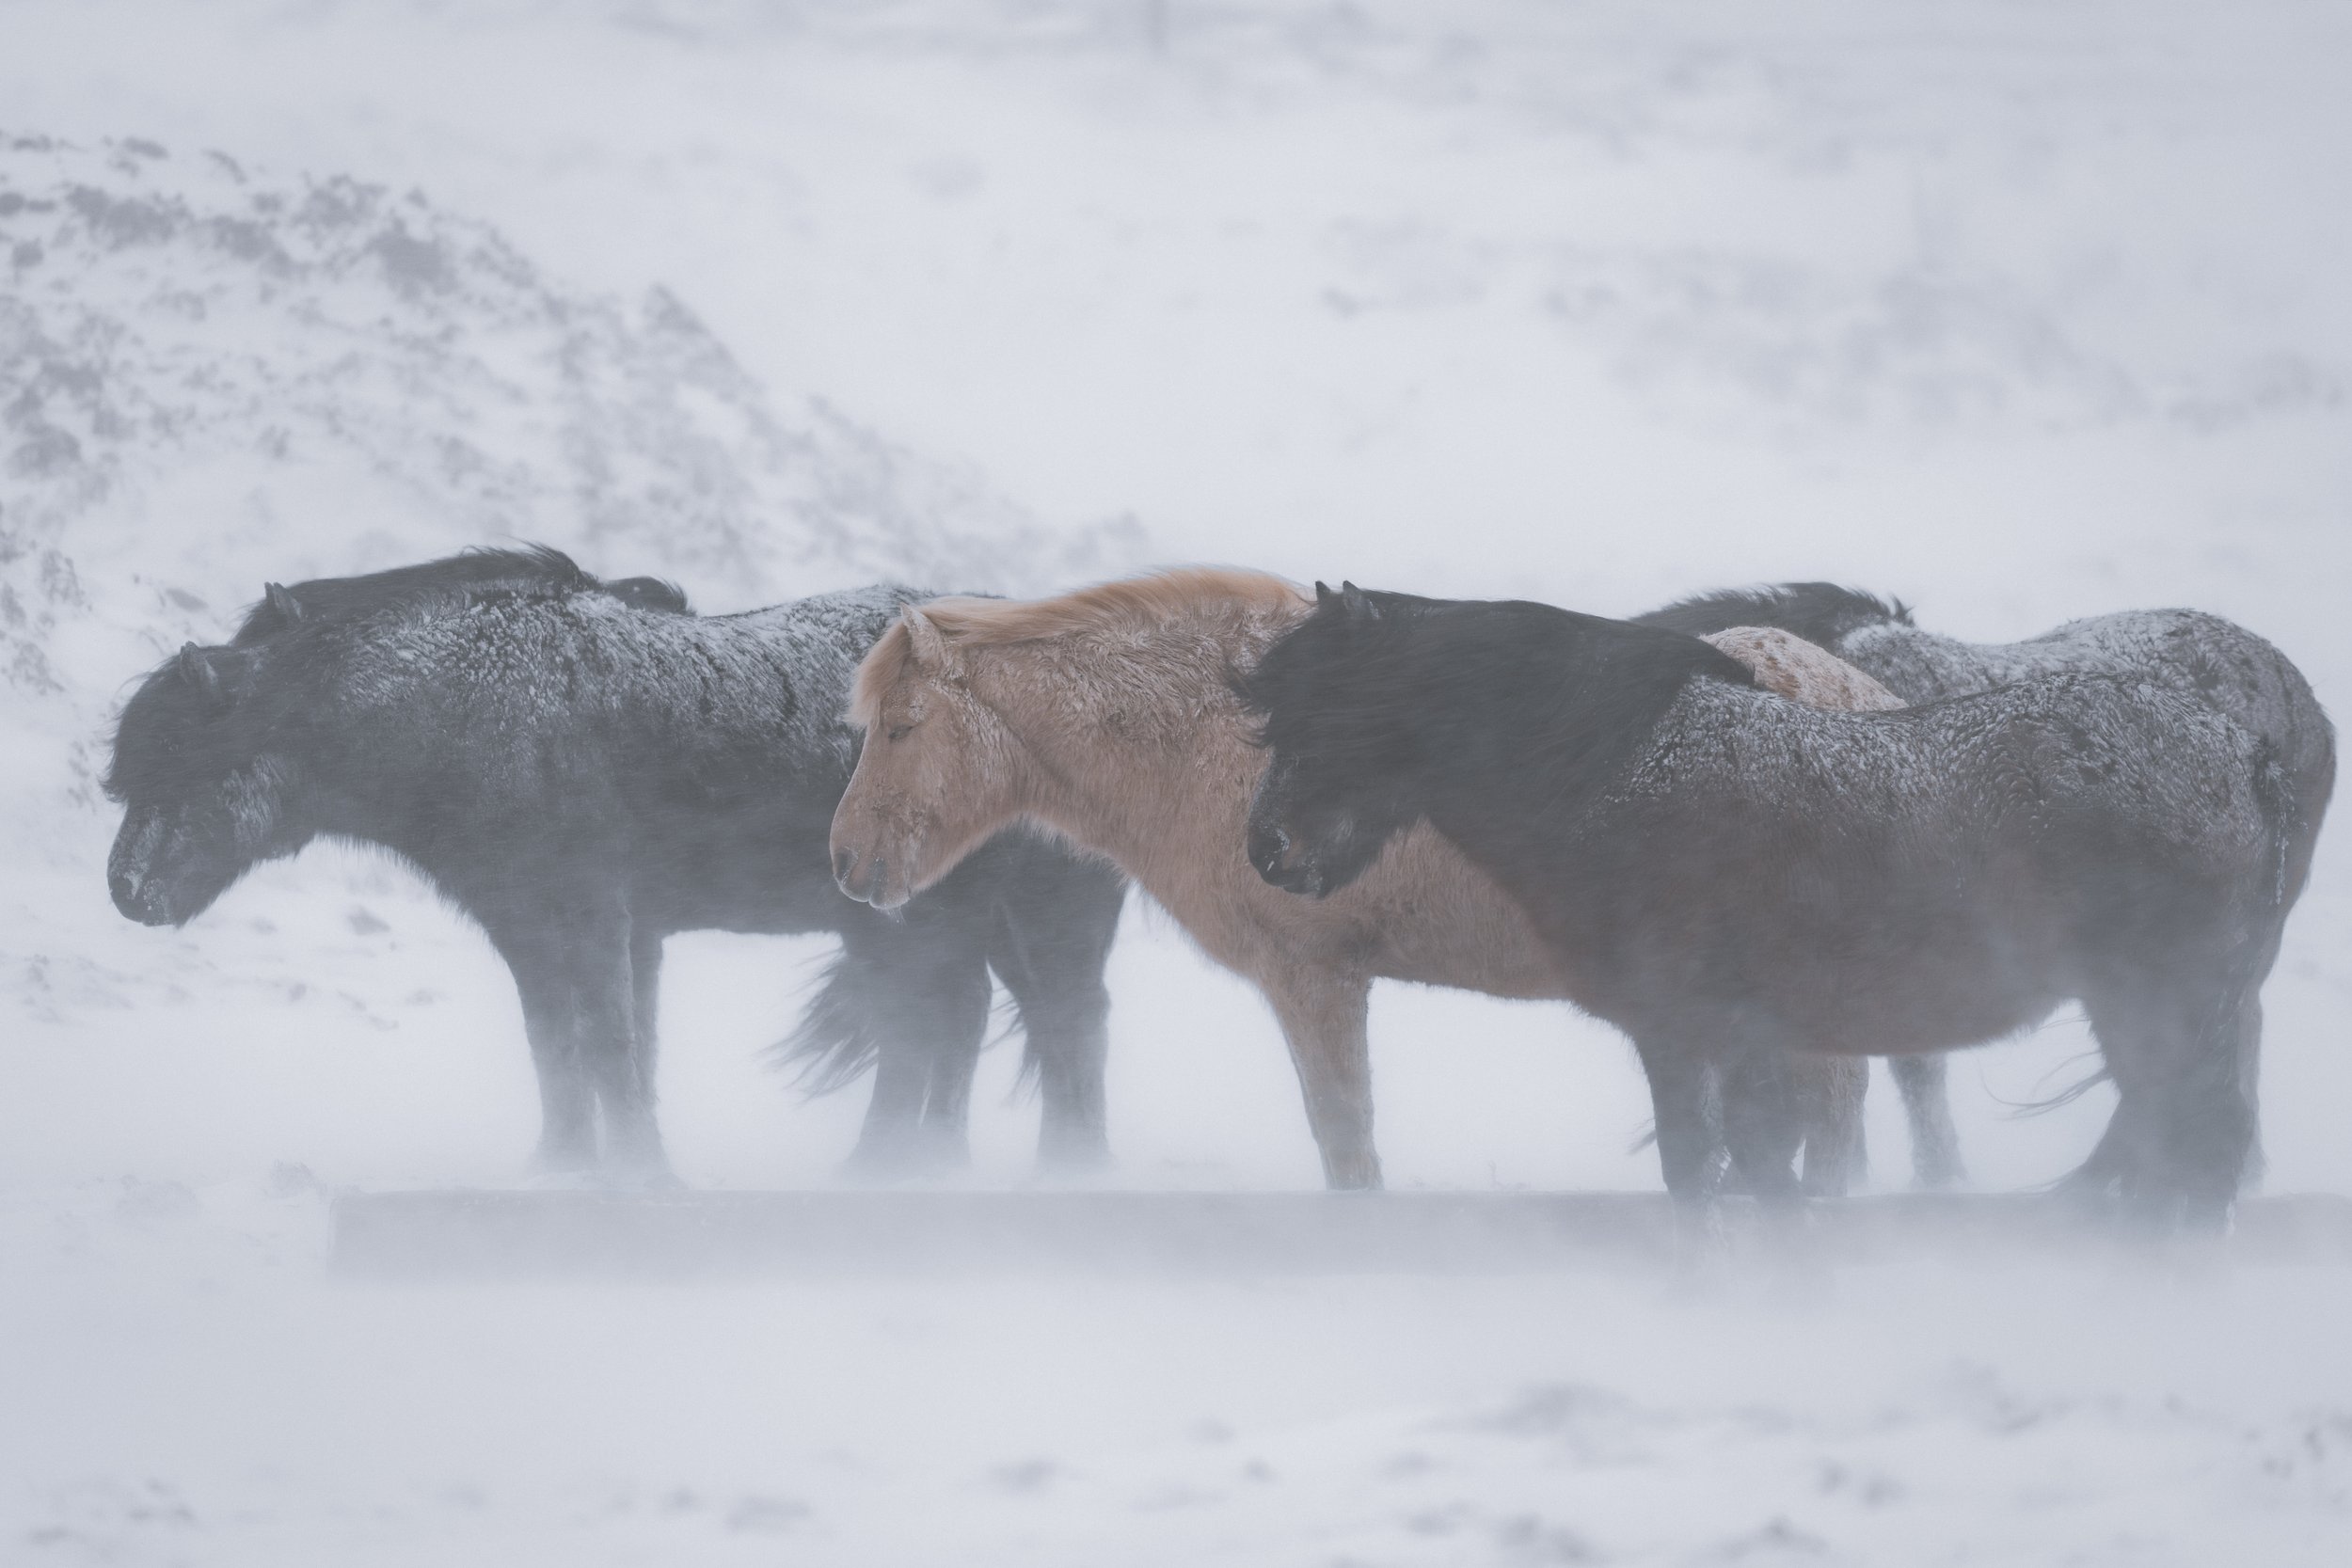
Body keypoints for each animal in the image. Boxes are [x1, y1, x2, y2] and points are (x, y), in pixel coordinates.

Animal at [104, 547, 1126, 1183]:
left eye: (182, 763)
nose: (125, 889)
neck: (468, 700)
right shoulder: (544, 930)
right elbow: (566, 1047)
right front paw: (562, 1166)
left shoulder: (593, 916)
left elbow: (607, 1042)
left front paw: (637, 1173)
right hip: (933, 927)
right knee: (956, 1028)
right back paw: (907, 1168)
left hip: (1032, 919)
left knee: (1057, 1022)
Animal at [826, 569, 1927, 1195]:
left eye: (902, 726)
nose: (845, 859)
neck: (1211, 740)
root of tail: (1864, 698)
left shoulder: (1314, 980)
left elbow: (1345, 1141)